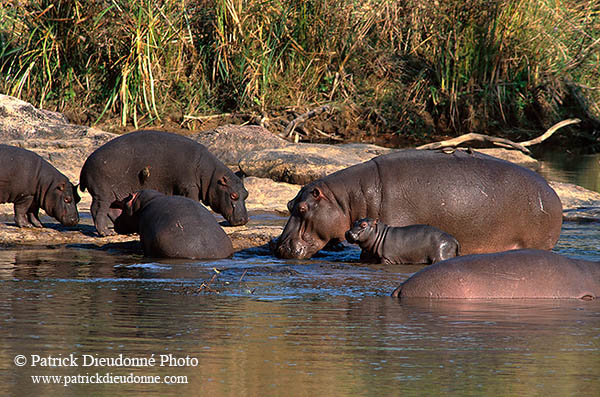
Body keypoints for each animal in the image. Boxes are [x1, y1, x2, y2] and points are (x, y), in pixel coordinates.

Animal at [79, 130, 248, 235]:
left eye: (246, 194)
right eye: (233, 195)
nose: (244, 220)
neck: (210, 176)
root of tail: (85, 164)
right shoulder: (189, 186)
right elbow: (194, 200)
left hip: (115, 194)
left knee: (113, 210)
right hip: (103, 193)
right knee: (98, 209)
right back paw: (105, 233)